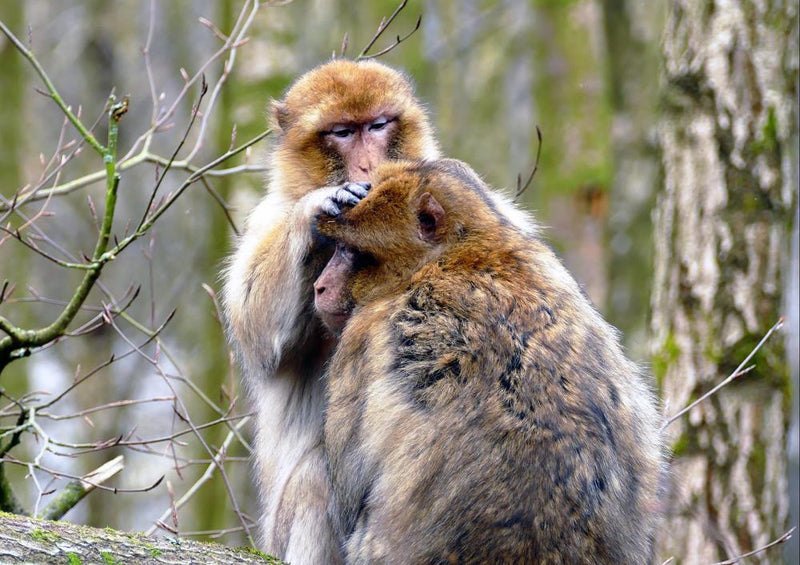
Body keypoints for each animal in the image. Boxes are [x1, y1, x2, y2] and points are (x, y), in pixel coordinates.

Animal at [222, 58, 440, 564]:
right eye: (342, 132)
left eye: (377, 126)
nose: (366, 164)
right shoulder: (267, 217)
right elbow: (253, 327)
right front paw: (314, 212)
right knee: (315, 477)